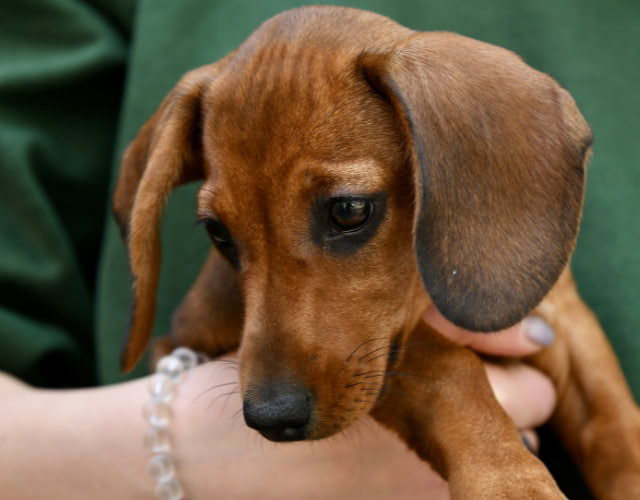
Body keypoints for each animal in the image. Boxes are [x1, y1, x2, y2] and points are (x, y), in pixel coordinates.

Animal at [115, 5, 640, 498]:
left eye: (349, 210)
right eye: (218, 233)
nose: (271, 418)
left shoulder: (563, 316)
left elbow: (615, 422)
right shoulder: (380, 360)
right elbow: (447, 366)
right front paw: (508, 480)